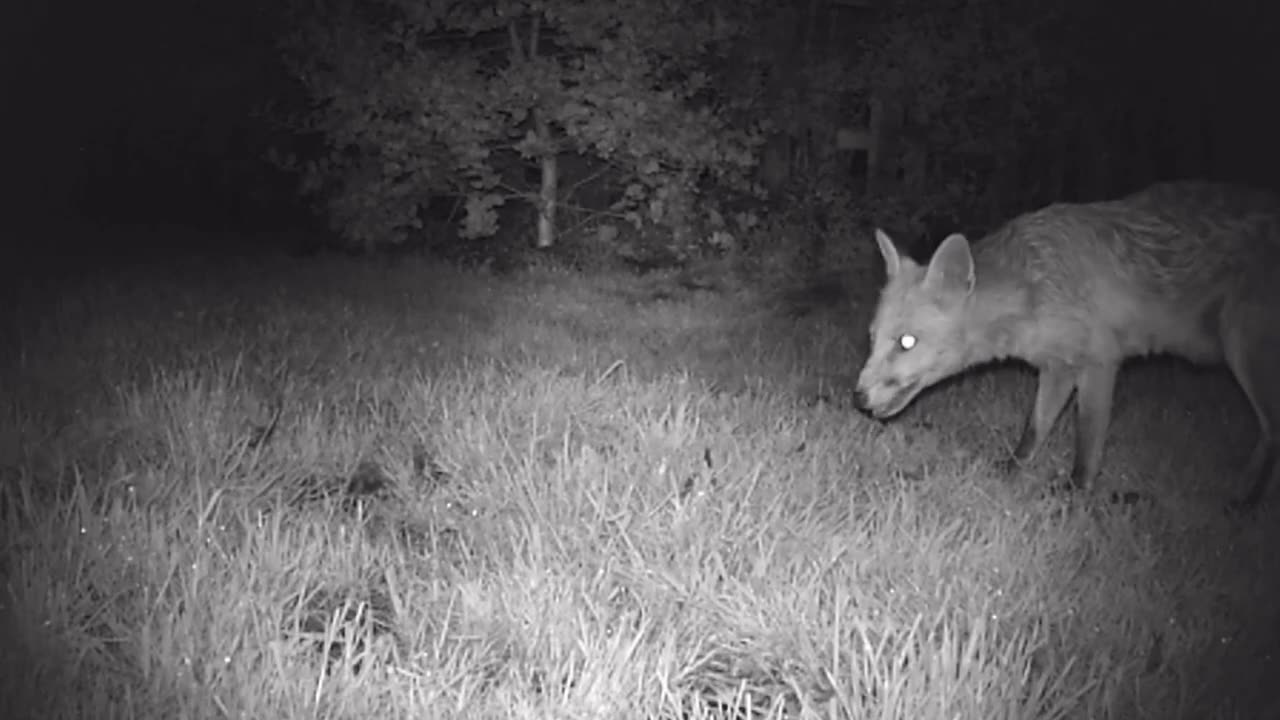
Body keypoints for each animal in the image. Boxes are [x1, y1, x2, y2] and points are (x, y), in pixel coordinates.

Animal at [855, 181, 1280, 507]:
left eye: (907, 342)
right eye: (872, 338)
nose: (857, 398)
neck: (1040, 285)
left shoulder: (1100, 363)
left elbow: (1087, 440)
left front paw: (1075, 496)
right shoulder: (1057, 366)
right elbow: (1035, 428)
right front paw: (1009, 471)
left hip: (1244, 352)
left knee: (1271, 429)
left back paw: (1244, 501)